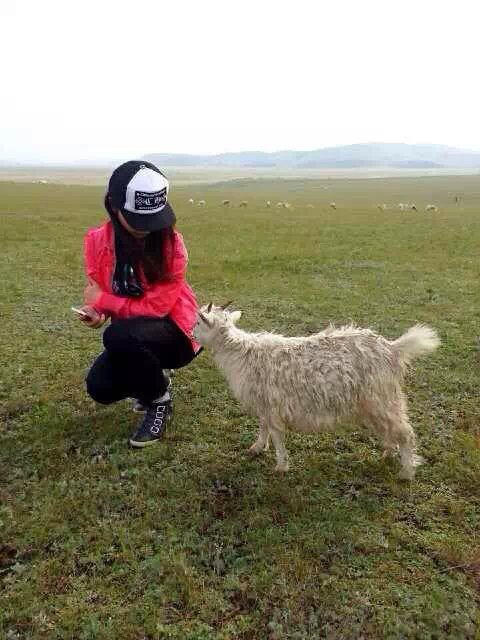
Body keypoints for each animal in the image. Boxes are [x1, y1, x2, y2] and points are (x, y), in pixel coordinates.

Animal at [193, 304, 440, 480]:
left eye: (198, 321)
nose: (191, 334)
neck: (243, 353)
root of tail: (393, 348)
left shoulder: (272, 405)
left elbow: (276, 435)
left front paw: (281, 466)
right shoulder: (264, 404)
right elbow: (263, 428)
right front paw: (256, 448)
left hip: (383, 397)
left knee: (406, 433)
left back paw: (406, 473)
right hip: (374, 402)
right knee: (389, 429)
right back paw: (388, 453)